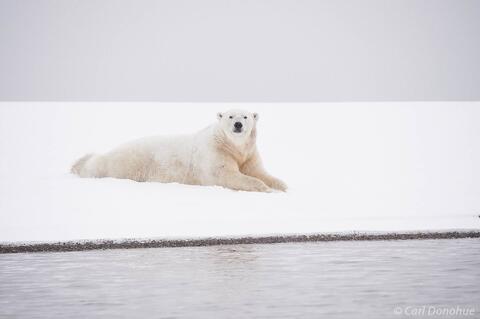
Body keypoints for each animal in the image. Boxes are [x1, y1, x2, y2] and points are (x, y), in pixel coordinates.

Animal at [71, 110, 286, 192]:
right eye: (230, 116)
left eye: (246, 116)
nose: (238, 125)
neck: (231, 145)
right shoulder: (215, 153)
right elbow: (227, 175)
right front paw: (264, 188)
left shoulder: (249, 154)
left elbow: (258, 171)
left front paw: (282, 186)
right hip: (127, 163)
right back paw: (80, 164)